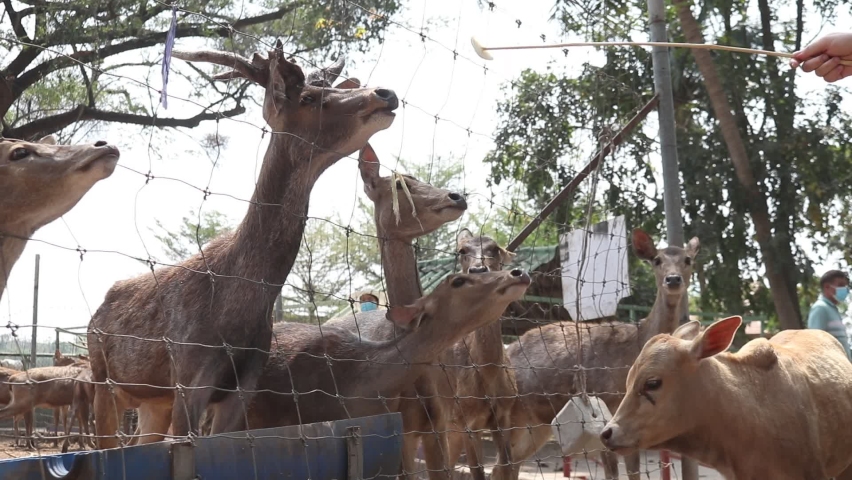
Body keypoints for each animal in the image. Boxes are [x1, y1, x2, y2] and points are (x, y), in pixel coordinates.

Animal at [86, 39, 399, 449]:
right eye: (309, 97)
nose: (385, 93)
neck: (239, 310)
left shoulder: (243, 386)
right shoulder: (189, 377)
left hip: (153, 401)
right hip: (100, 379)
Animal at [443, 229, 517, 480]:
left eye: (495, 248)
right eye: (462, 250)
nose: (478, 269)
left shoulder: (504, 415)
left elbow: (506, 467)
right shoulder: (467, 420)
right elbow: (477, 470)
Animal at [505, 229, 700, 480]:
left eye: (688, 259)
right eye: (657, 260)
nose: (673, 279)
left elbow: (634, 472)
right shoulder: (607, 410)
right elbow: (612, 473)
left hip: (536, 424)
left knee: (511, 462)